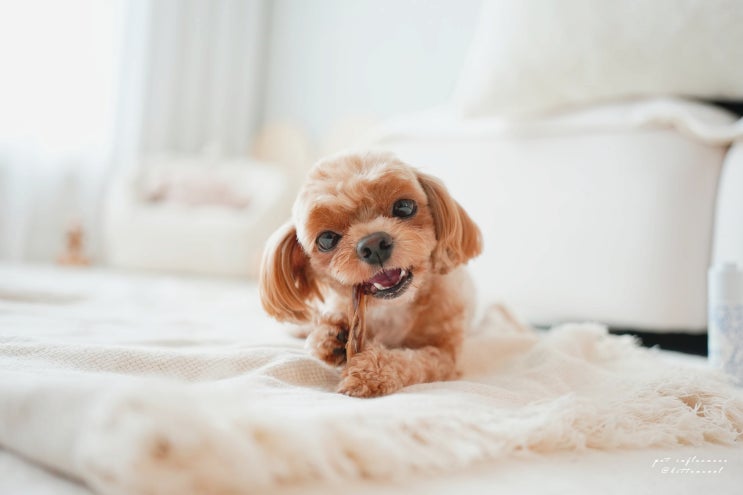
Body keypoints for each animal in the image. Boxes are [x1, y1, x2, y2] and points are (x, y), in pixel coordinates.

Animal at [259, 151, 482, 397]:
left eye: (405, 207)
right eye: (326, 239)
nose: (374, 244)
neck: (391, 309)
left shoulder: (445, 354)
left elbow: (414, 362)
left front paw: (369, 372)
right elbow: (324, 333)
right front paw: (331, 337)